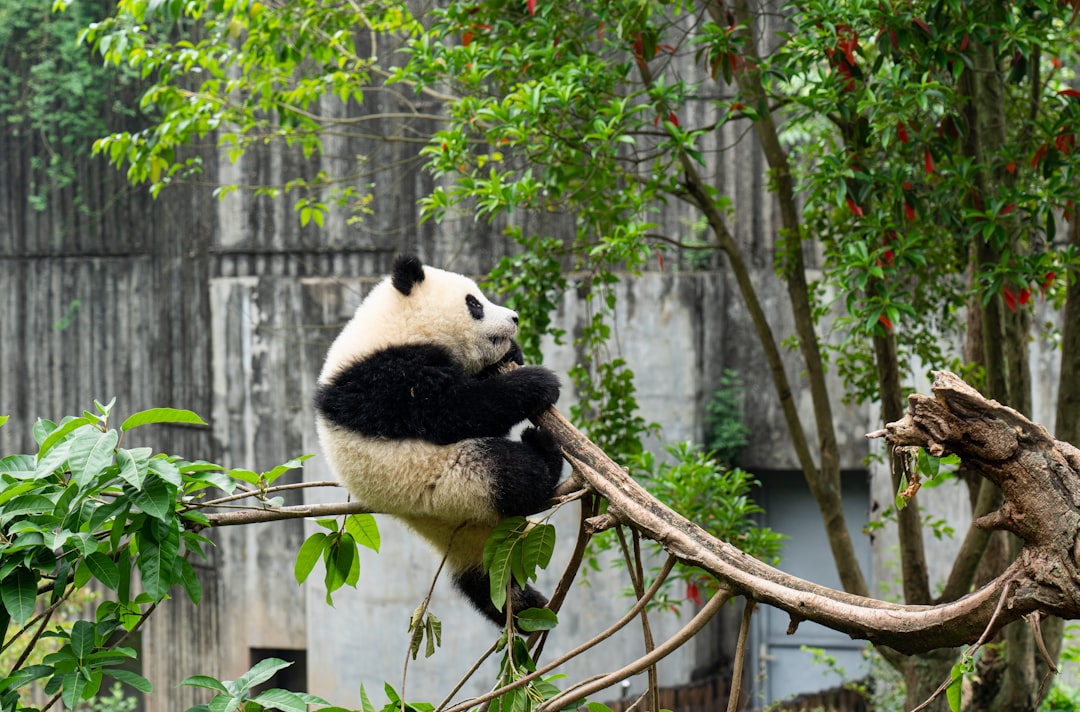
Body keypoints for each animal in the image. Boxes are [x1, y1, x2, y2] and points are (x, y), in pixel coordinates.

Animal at [314, 255, 565, 626]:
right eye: (474, 304)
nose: (514, 318)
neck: (394, 326)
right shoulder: (384, 380)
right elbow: (453, 411)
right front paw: (536, 382)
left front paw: (513, 354)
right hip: (456, 481)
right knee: (515, 471)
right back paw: (543, 449)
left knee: (482, 583)